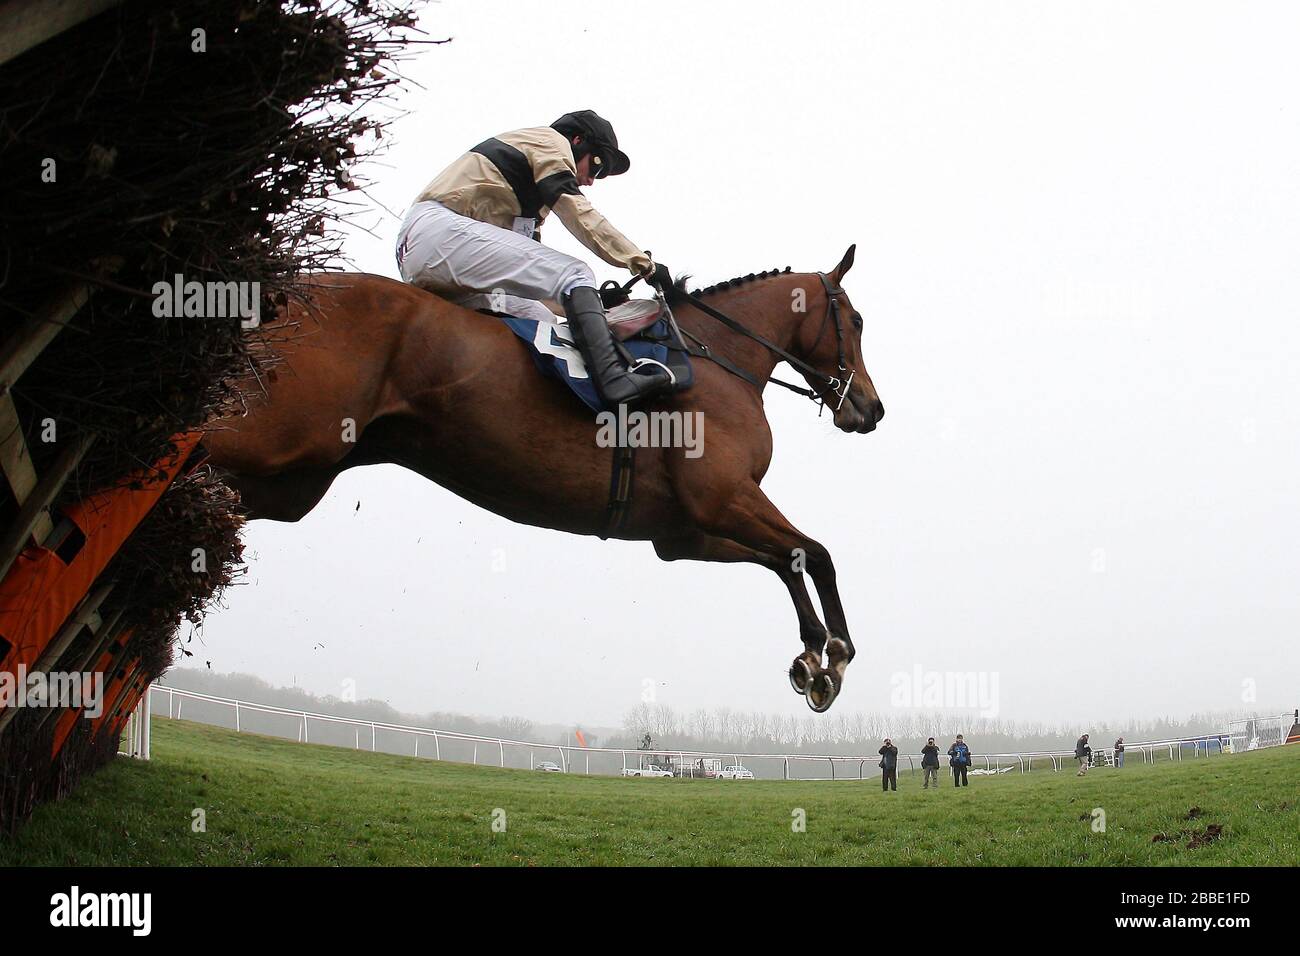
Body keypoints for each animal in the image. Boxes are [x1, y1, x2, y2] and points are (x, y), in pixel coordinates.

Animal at [205, 247, 883, 712]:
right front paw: (837, 655)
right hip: (272, 435)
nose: (871, 409)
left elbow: (785, 559)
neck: (718, 359)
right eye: (855, 320)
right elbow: (814, 552)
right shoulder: (723, 499)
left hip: (293, 481)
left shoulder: (683, 534)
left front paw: (811, 655)